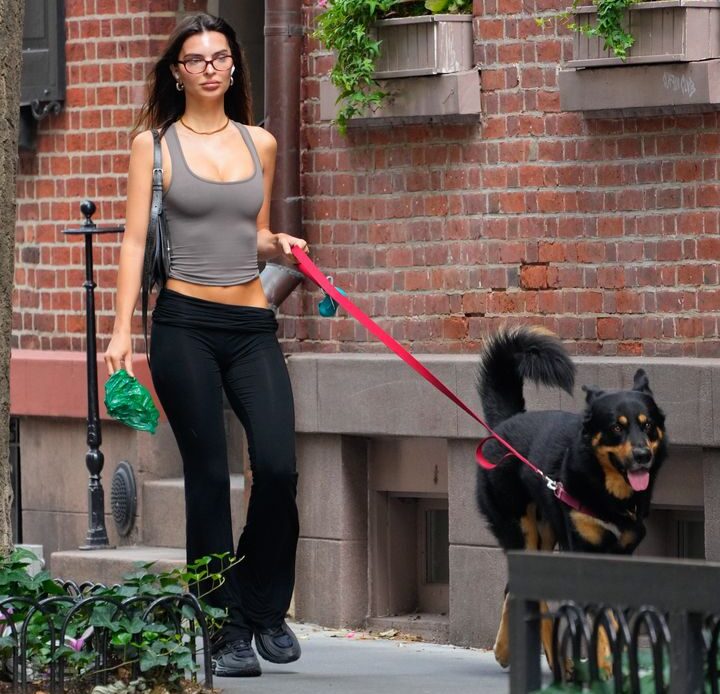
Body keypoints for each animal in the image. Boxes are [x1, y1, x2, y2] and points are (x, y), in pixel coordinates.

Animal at [476, 328, 668, 672]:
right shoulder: (584, 551)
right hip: (522, 530)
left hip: (545, 533)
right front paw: (607, 663)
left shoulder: (621, 555)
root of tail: (503, 425)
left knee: (518, 589)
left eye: (647, 424)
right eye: (616, 427)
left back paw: (520, 653)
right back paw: (541, 657)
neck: (607, 494)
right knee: (526, 591)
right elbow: (605, 616)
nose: (642, 455)